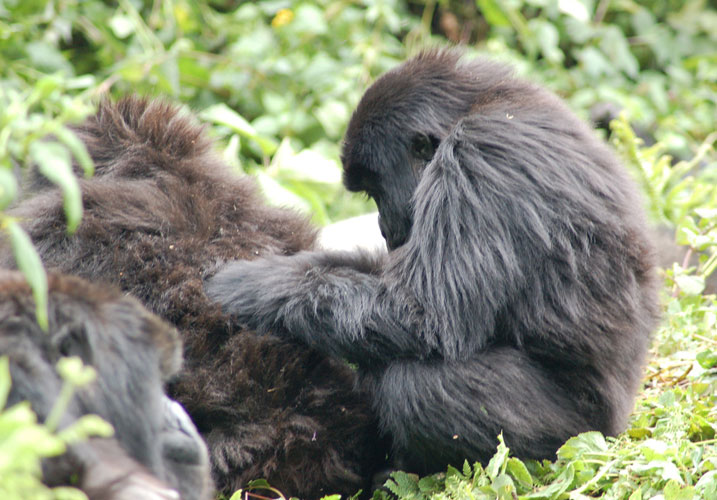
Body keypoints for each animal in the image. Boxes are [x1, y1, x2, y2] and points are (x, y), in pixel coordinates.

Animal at [206, 50, 660, 476]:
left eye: (374, 189)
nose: (383, 225)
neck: (474, 106)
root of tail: (618, 424)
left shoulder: (478, 159)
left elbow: (424, 315)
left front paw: (251, 286)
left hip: (580, 431)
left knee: (413, 385)